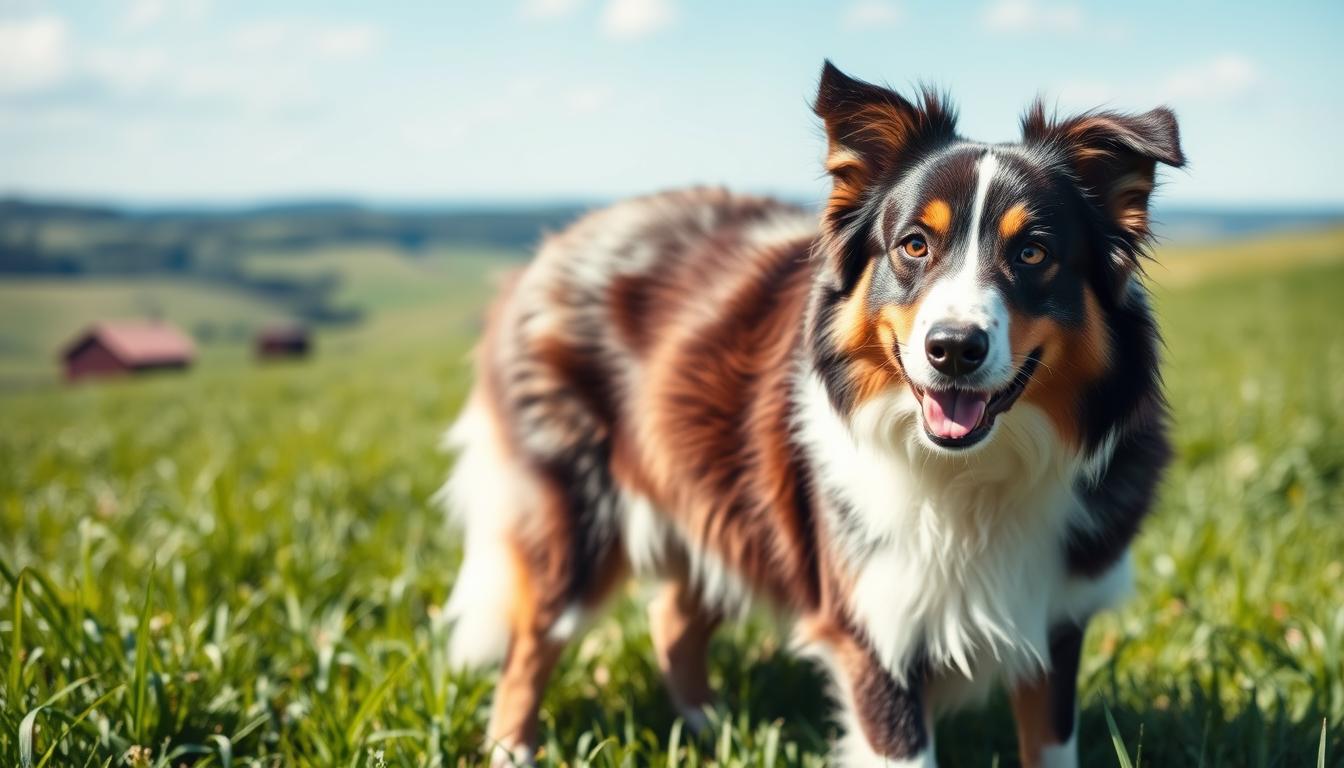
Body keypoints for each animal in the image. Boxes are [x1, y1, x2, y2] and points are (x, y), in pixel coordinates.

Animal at [435, 61, 1182, 768]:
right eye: (914, 245)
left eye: (1033, 252)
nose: (952, 349)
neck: (972, 477)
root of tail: (557, 242)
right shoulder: (875, 627)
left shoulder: (1057, 616)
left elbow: (1052, 744)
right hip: (577, 518)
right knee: (532, 645)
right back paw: (514, 750)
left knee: (671, 621)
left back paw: (712, 729)